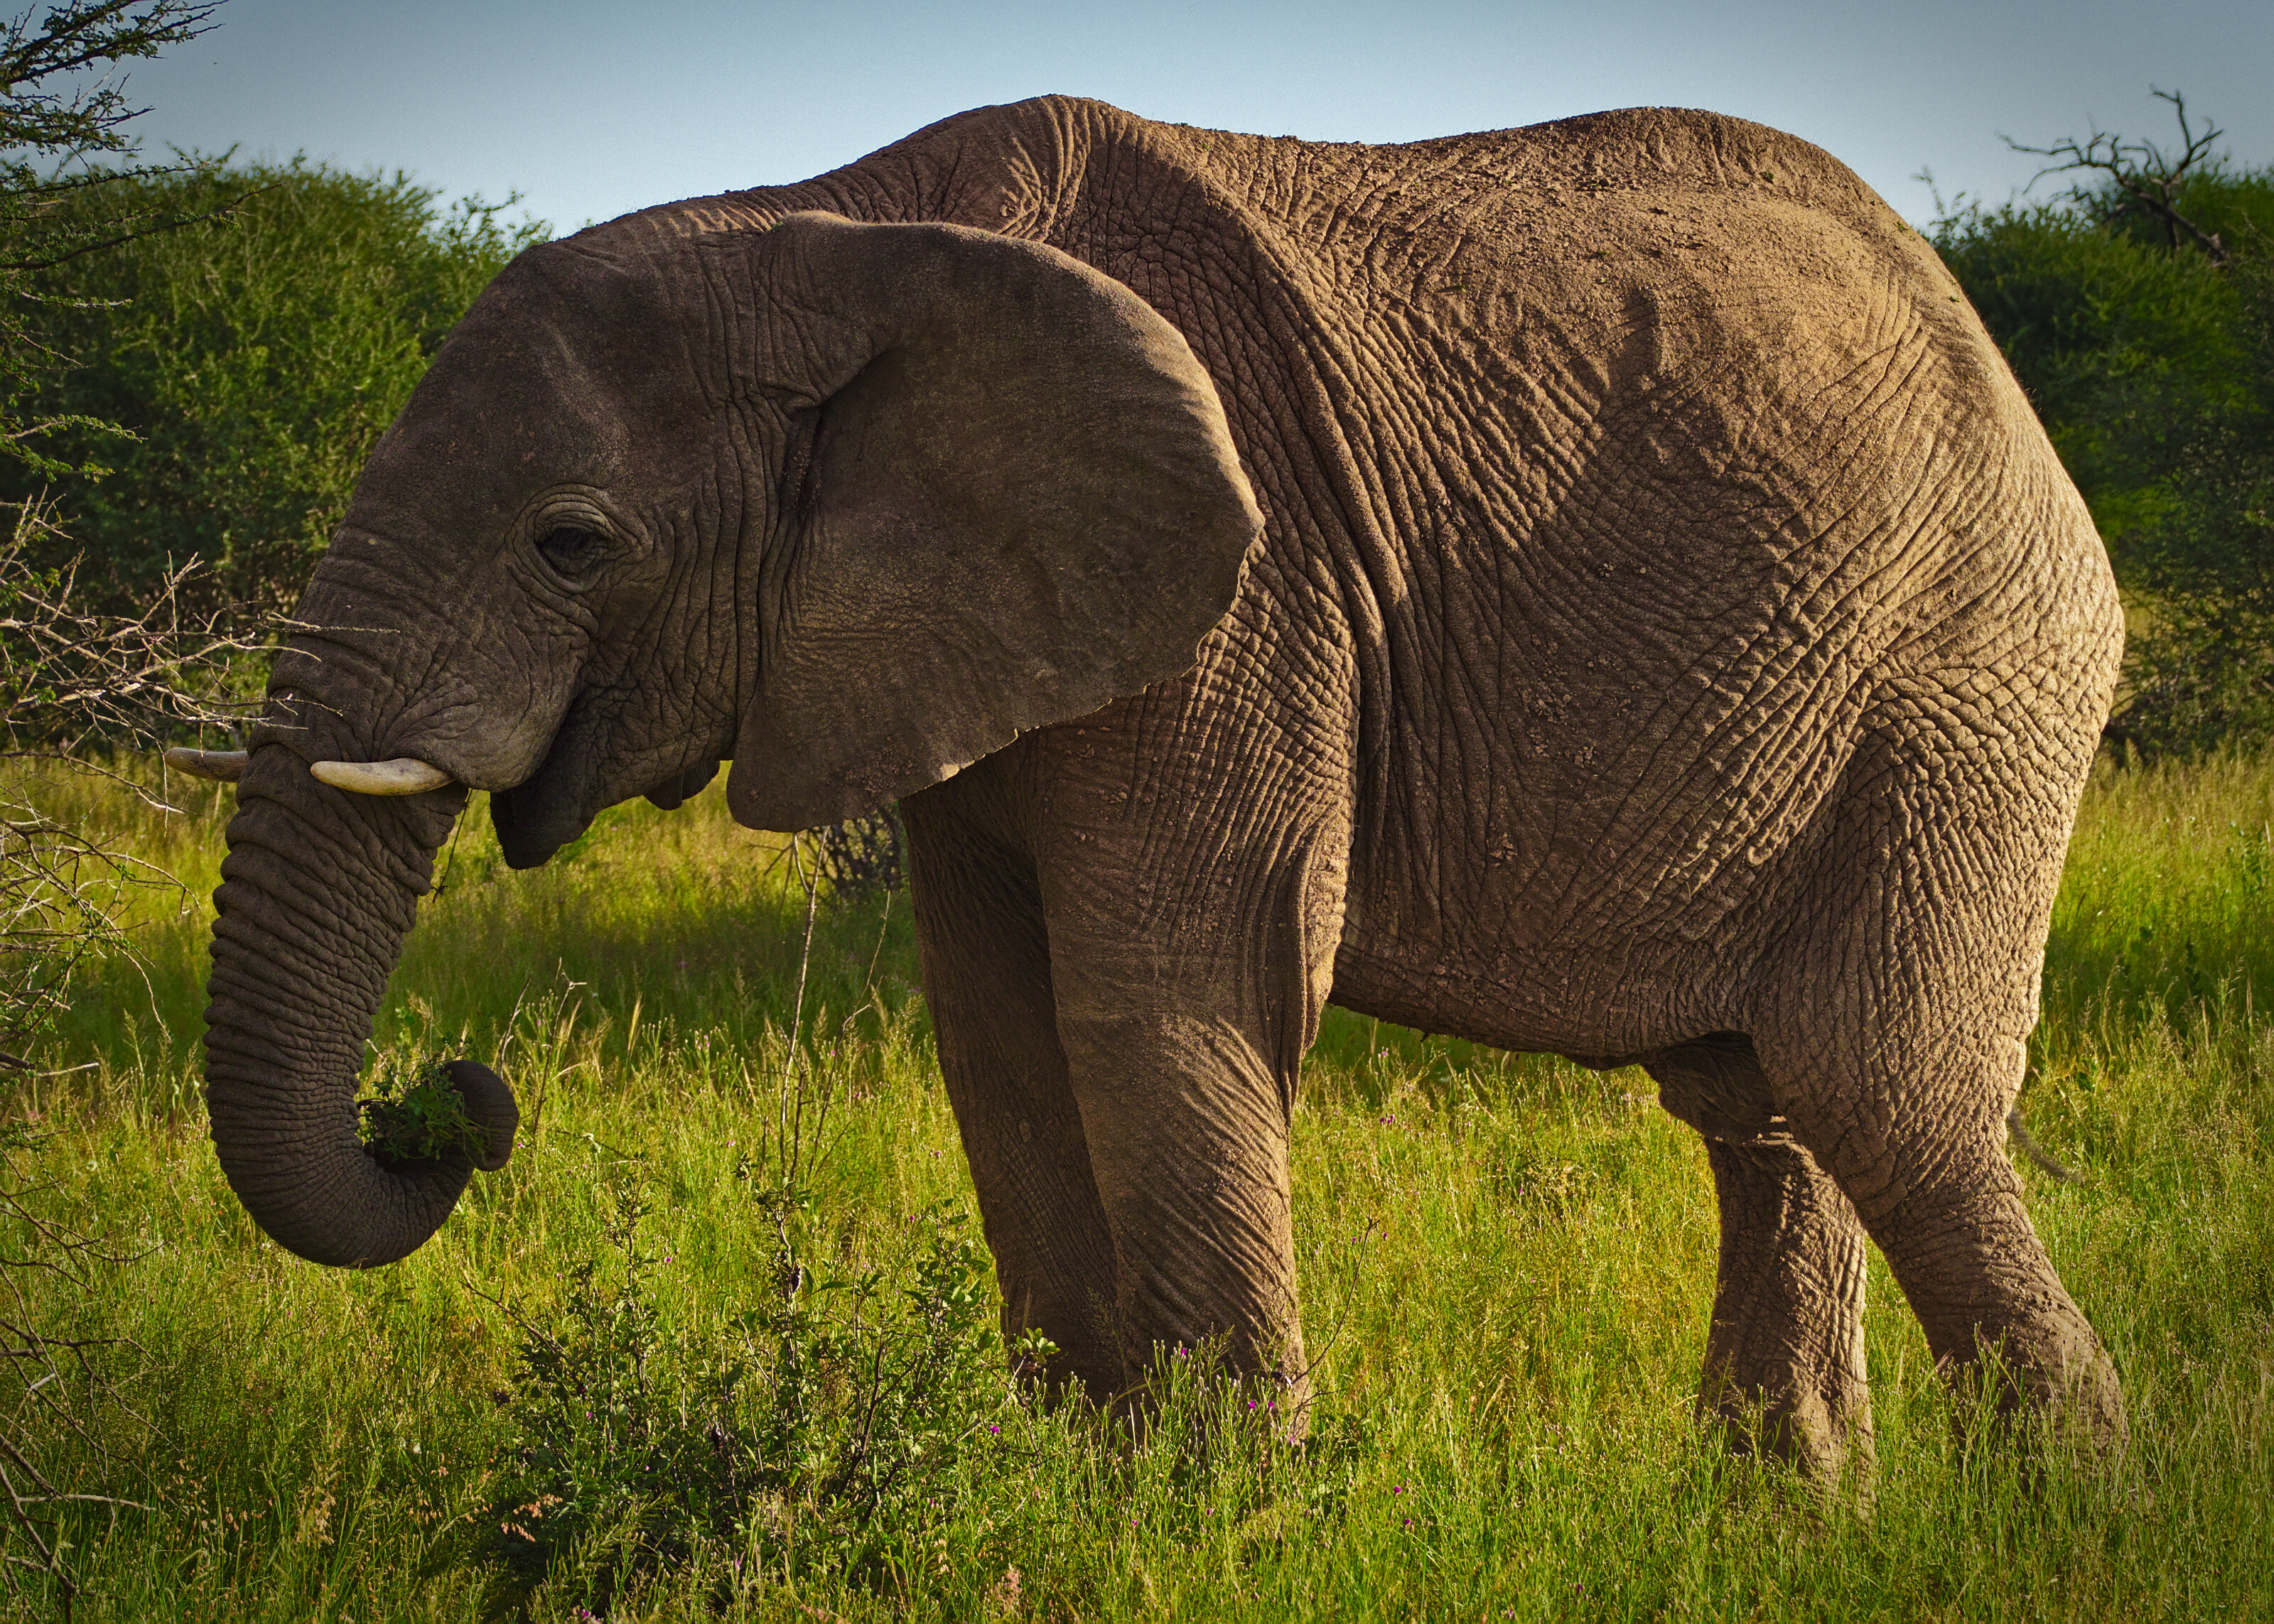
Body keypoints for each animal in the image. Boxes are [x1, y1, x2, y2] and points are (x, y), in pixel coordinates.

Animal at [180, 96, 2127, 1479]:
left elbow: (1162, 993)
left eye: (571, 543)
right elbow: (993, 1020)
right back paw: (1789, 1504)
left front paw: (1226, 1507)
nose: (447, 1101)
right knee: (1766, 1106)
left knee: (1881, 1089)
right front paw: (1076, 1475)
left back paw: (2066, 1510)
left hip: (1968, 681)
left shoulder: (1251, 591)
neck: (828, 222)